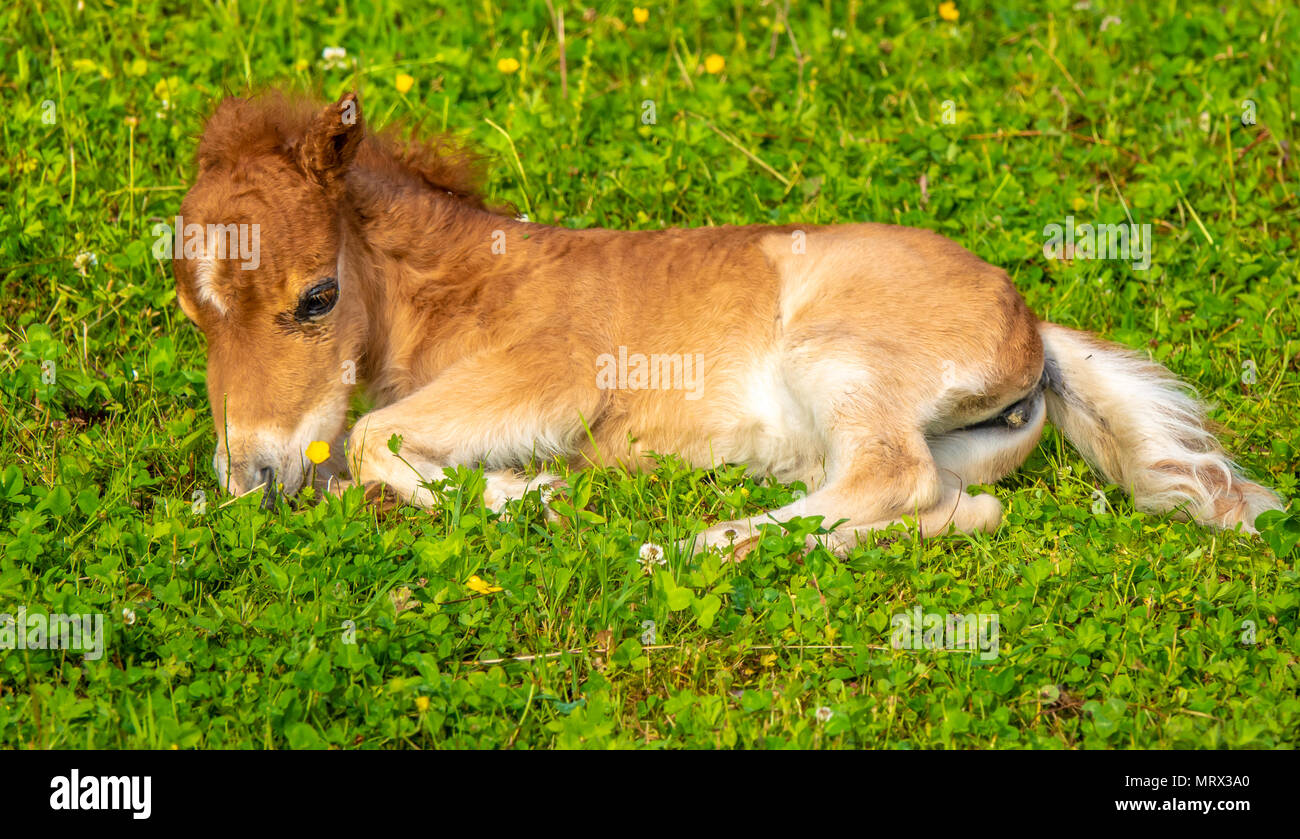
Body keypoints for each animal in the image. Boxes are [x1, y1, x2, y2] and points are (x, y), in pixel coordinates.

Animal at [172, 91, 1279, 548]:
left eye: (317, 296)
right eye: (192, 311)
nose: (252, 475)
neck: (467, 285)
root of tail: (1035, 331)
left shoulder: (560, 374)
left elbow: (371, 437)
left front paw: (538, 495)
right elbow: (367, 449)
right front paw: (526, 494)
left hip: (838, 361)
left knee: (888, 476)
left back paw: (685, 544)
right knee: (944, 501)